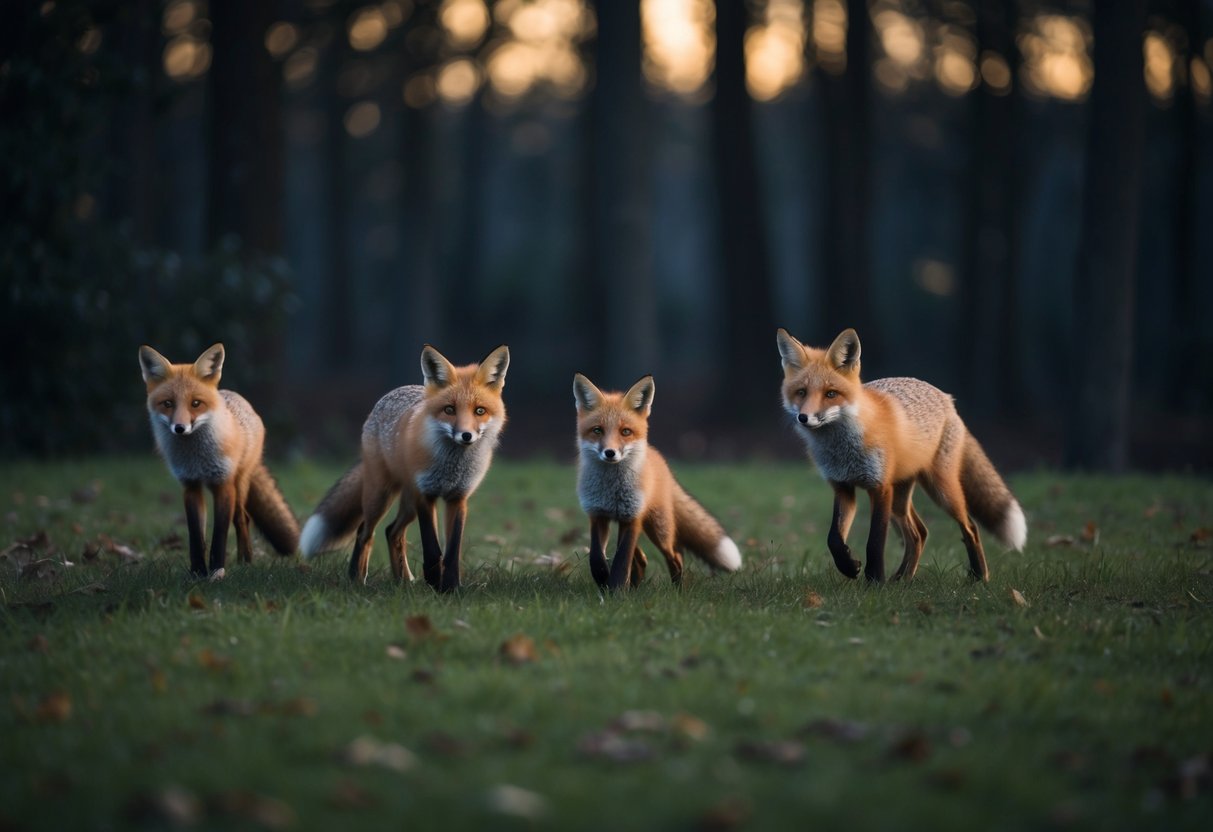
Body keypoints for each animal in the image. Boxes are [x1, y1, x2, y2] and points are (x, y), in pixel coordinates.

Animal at [139, 343, 300, 578]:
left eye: (196, 403)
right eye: (167, 404)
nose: (180, 428)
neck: (197, 458)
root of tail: (233, 395)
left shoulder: (223, 484)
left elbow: (219, 535)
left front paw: (217, 572)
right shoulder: (190, 486)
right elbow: (197, 536)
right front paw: (197, 572)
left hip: (239, 485)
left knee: (243, 519)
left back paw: (245, 562)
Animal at [300, 344, 509, 592]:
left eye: (479, 411)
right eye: (449, 410)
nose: (466, 435)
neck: (451, 468)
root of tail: (391, 394)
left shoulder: (458, 498)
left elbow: (452, 553)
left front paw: (450, 588)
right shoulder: (425, 495)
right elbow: (432, 549)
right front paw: (435, 584)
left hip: (408, 503)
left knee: (392, 532)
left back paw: (402, 580)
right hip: (381, 495)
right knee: (364, 532)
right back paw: (356, 579)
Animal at [573, 373, 742, 590]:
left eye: (625, 431)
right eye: (597, 430)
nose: (610, 453)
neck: (612, 491)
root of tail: (659, 459)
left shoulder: (632, 518)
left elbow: (621, 561)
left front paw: (616, 590)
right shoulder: (597, 515)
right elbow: (596, 558)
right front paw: (604, 582)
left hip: (659, 528)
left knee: (675, 554)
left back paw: (677, 590)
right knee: (642, 559)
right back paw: (635, 587)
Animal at [776, 328, 1026, 583]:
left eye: (831, 394)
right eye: (801, 392)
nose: (804, 418)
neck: (842, 451)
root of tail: (946, 398)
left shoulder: (880, 487)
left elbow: (875, 543)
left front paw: (875, 581)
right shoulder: (843, 487)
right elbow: (834, 539)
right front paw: (849, 566)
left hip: (941, 491)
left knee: (970, 528)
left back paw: (978, 577)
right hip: (900, 500)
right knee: (919, 533)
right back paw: (902, 580)